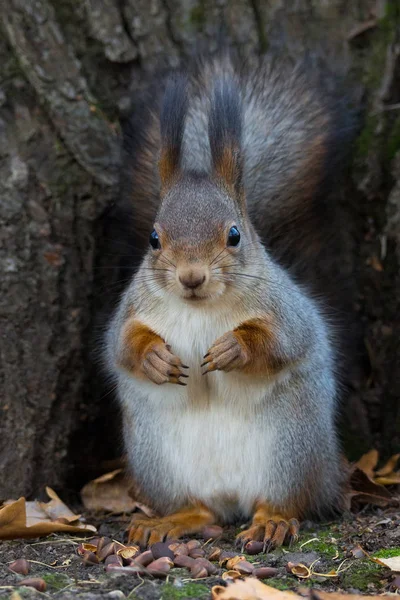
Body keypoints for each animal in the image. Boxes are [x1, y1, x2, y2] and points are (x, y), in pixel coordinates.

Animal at [104, 52, 354, 548]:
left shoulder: (285, 310)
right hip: (157, 460)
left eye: (235, 235)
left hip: (290, 449)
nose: (191, 277)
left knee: (285, 501)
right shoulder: (131, 310)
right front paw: (155, 358)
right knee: (199, 510)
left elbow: (282, 341)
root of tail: (230, 496)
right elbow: (123, 345)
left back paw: (272, 521)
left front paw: (233, 348)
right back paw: (168, 521)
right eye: (154, 239)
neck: (200, 309)